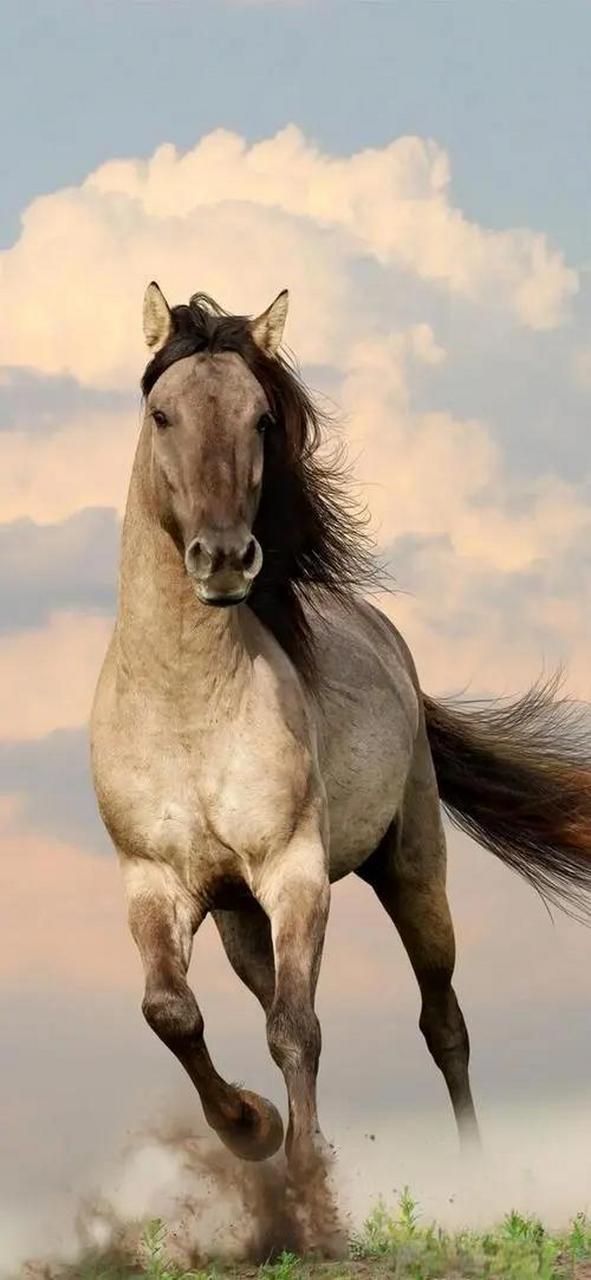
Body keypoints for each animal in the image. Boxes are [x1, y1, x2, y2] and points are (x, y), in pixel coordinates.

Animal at [90, 282, 591, 1180]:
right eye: (161, 414)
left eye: (261, 418)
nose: (225, 560)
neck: (185, 708)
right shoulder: (153, 881)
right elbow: (172, 1012)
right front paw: (252, 1126)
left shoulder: (294, 873)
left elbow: (297, 1028)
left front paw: (305, 1181)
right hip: (237, 917)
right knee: (266, 997)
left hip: (411, 869)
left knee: (442, 1021)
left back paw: (473, 1173)